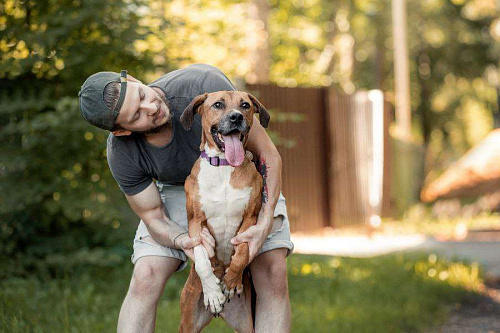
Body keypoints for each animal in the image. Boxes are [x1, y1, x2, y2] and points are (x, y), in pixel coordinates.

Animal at [179, 91, 270, 332]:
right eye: (218, 105)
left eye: (245, 105)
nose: (236, 117)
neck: (224, 166)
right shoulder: (195, 224)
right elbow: (202, 260)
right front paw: (213, 292)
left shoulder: (250, 219)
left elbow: (243, 251)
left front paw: (231, 282)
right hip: (188, 321)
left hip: (246, 323)